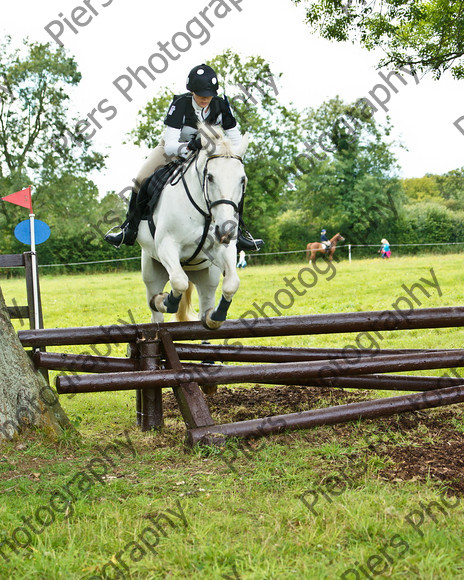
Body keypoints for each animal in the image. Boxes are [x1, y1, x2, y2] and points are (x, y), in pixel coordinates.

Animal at [136, 122, 248, 328]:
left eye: (242, 179)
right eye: (210, 177)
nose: (225, 231)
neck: (205, 212)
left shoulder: (223, 248)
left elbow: (232, 283)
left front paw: (217, 315)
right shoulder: (166, 246)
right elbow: (179, 282)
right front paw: (166, 301)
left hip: (207, 277)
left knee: (206, 298)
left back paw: (209, 314)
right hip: (151, 269)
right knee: (155, 307)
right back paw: (159, 301)